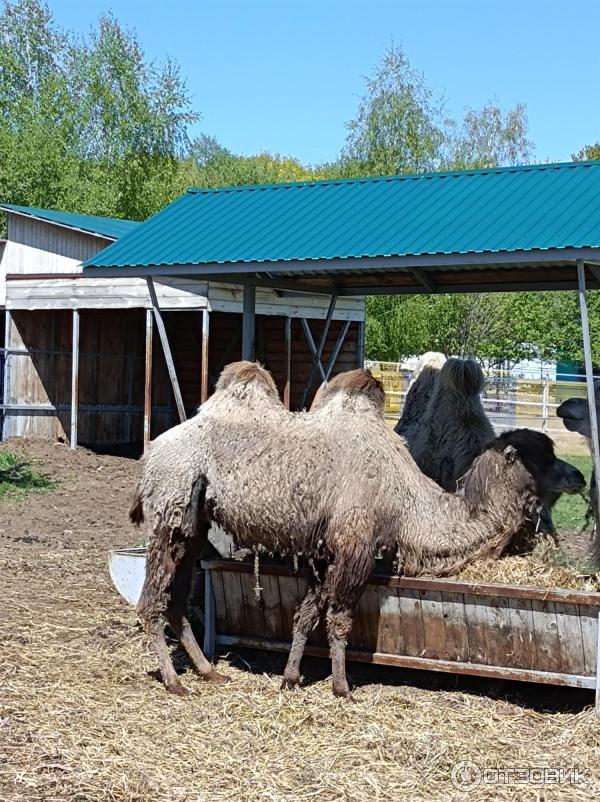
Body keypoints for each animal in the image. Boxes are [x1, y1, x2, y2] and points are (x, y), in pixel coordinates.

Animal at [130, 360, 540, 692]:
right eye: (535, 459)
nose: (546, 500)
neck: (402, 497)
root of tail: (151, 453)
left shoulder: (327, 550)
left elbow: (307, 614)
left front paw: (290, 677)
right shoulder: (355, 544)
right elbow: (340, 617)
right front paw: (342, 687)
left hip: (193, 525)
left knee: (176, 599)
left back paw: (208, 671)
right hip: (169, 508)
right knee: (151, 600)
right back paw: (173, 681)